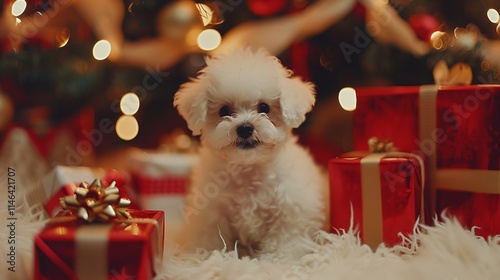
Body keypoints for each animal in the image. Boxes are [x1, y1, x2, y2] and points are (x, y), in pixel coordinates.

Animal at [175, 48, 324, 260]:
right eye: (224, 111)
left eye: (264, 108)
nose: (245, 128)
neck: (249, 168)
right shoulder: (212, 212)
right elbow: (212, 237)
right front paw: (208, 255)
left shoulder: (291, 207)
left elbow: (285, 235)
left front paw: (279, 257)